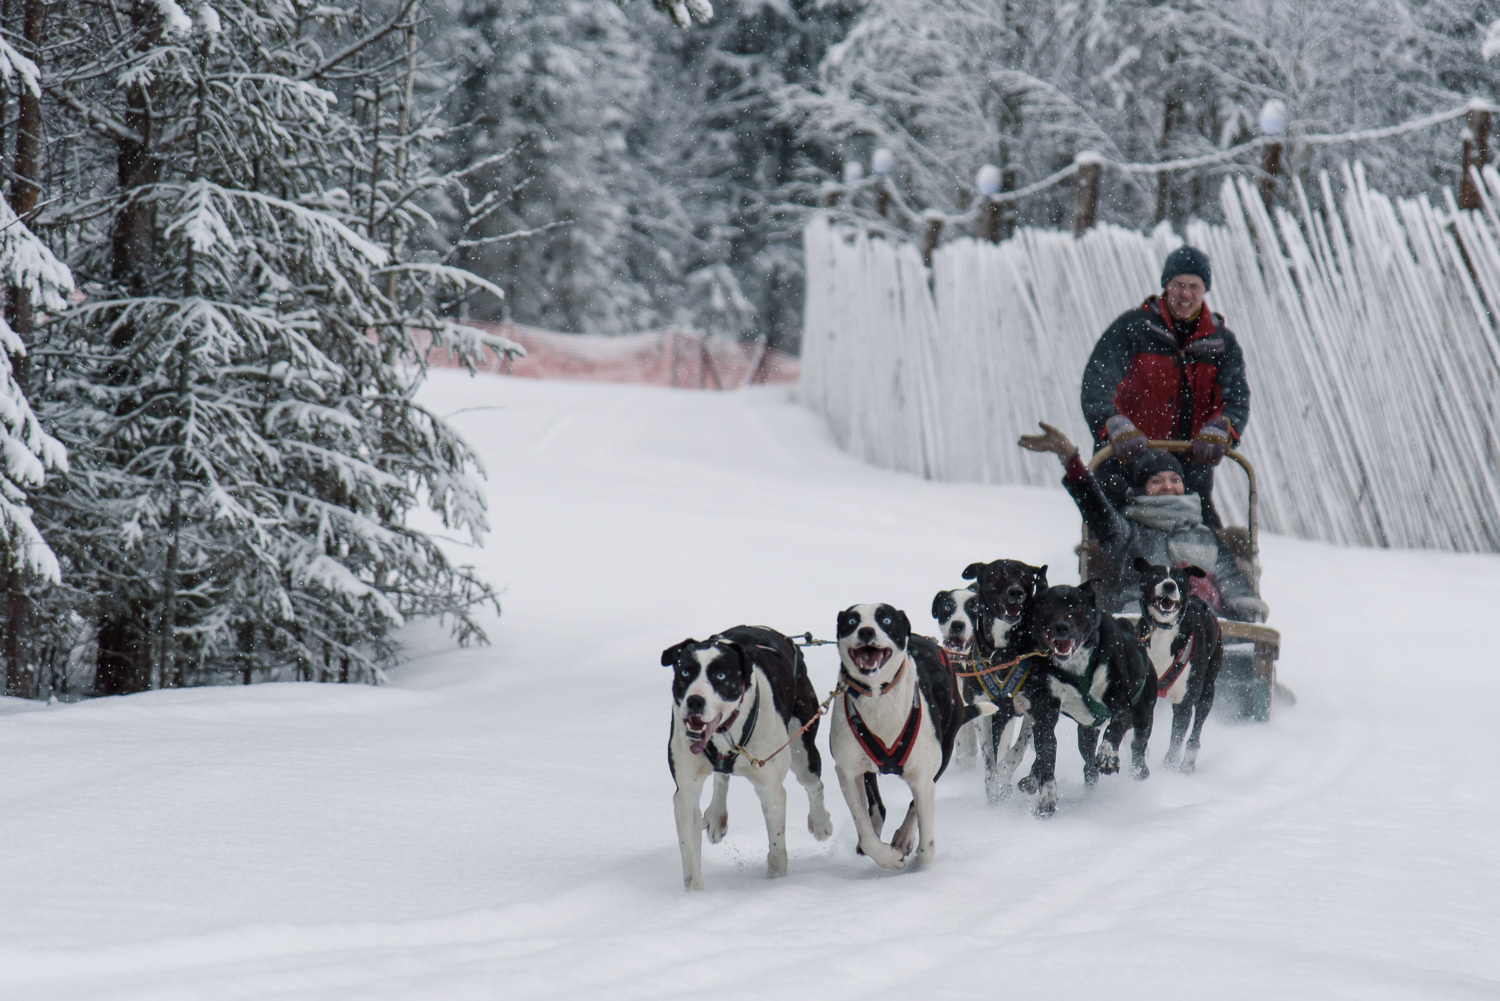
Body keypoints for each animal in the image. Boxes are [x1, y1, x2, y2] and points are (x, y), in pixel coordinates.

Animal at [666, 627, 840, 894]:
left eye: (720, 675)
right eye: (685, 671)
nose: (694, 701)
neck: (726, 730)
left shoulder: (771, 789)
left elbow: (777, 848)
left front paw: (777, 881)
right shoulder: (686, 792)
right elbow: (690, 849)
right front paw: (695, 894)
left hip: (802, 748)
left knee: (814, 784)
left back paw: (820, 822)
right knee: (722, 776)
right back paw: (717, 815)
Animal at [828, 603, 990, 870]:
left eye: (885, 620)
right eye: (852, 621)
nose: (866, 631)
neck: (878, 698)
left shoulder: (923, 776)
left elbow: (926, 846)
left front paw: (916, 859)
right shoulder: (847, 771)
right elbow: (865, 830)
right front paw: (887, 857)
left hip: (942, 754)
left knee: (916, 803)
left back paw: (904, 837)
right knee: (877, 808)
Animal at [960, 564, 1044, 804]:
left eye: (1025, 576)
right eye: (997, 574)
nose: (1016, 592)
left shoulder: (1031, 710)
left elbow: (1016, 750)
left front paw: (1002, 778)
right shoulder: (986, 710)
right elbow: (990, 755)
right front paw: (993, 785)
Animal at [1020, 582, 1158, 816]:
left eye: (1076, 608)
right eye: (1045, 608)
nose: (1062, 627)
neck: (1076, 664)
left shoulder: (1122, 706)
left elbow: (1115, 728)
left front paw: (1108, 755)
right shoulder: (1045, 714)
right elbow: (1046, 755)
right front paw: (1047, 799)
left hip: (1143, 716)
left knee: (1138, 746)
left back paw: (1140, 772)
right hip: (1086, 733)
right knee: (1086, 764)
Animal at [1134, 561, 1218, 774]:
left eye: (1179, 579)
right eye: (1155, 575)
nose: (1169, 585)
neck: (1163, 632)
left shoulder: (1184, 703)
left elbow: (1176, 740)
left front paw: (1168, 768)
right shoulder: (1146, 697)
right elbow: (1142, 735)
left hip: (1207, 691)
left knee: (1196, 731)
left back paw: (1188, 763)